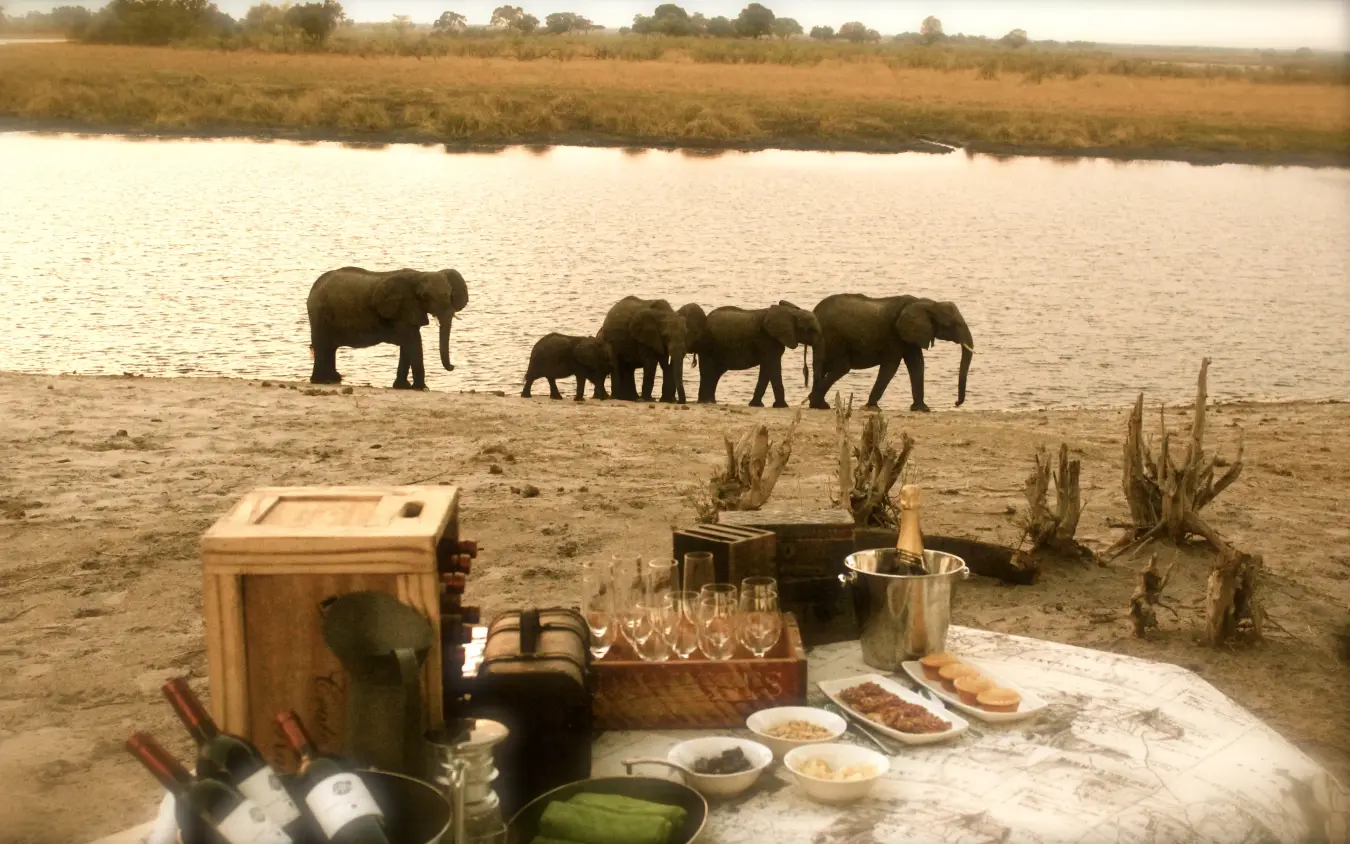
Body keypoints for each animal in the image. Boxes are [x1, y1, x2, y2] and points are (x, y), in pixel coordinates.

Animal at [307, 266, 469, 390]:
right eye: (425, 297)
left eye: (450, 294)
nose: (453, 366)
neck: (420, 274)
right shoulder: (401, 310)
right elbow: (413, 341)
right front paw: (421, 388)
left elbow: (408, 344)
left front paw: (402, 387)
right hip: (319, 315)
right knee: (323, 347)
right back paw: (321, 381)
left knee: (329, 349)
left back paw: (333, 379)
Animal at [691, 301, 822, 407]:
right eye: (811, 330)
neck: (791, 312)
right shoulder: (768, 340)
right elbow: (773, 368)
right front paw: (782, 406)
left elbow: (766, 369)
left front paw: (757, 404)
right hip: (708, 347)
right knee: (709, 372)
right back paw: (706, 402)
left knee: (714, 374)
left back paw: (710, 402)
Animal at [807, 294, 974, 412]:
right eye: (953, 325)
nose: (956, 403)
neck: (926, 303)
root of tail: (815, 311)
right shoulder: (894, 336)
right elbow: (891, 365)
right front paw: (871, 408)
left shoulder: (909, 336)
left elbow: (916, 363)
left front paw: (921, 409)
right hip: (834, 337)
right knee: (841, 367)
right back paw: (819, 404)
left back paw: (817, 403)